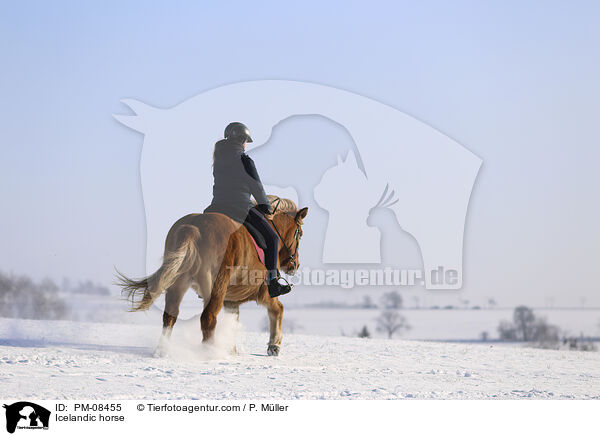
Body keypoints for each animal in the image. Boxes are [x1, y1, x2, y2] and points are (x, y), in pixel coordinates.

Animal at [116, 198, 308, 358]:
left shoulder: (231, 300)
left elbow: (233, 321)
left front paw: (232, 349)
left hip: (179, 283)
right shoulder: (262, 292)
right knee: (208, 318)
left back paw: (162, 350)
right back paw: (210, 352)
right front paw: (274, 346)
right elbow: (278, 309)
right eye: (299, 234)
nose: (295, 265)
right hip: (216, 285)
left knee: (170, 316)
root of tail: (194, 227)